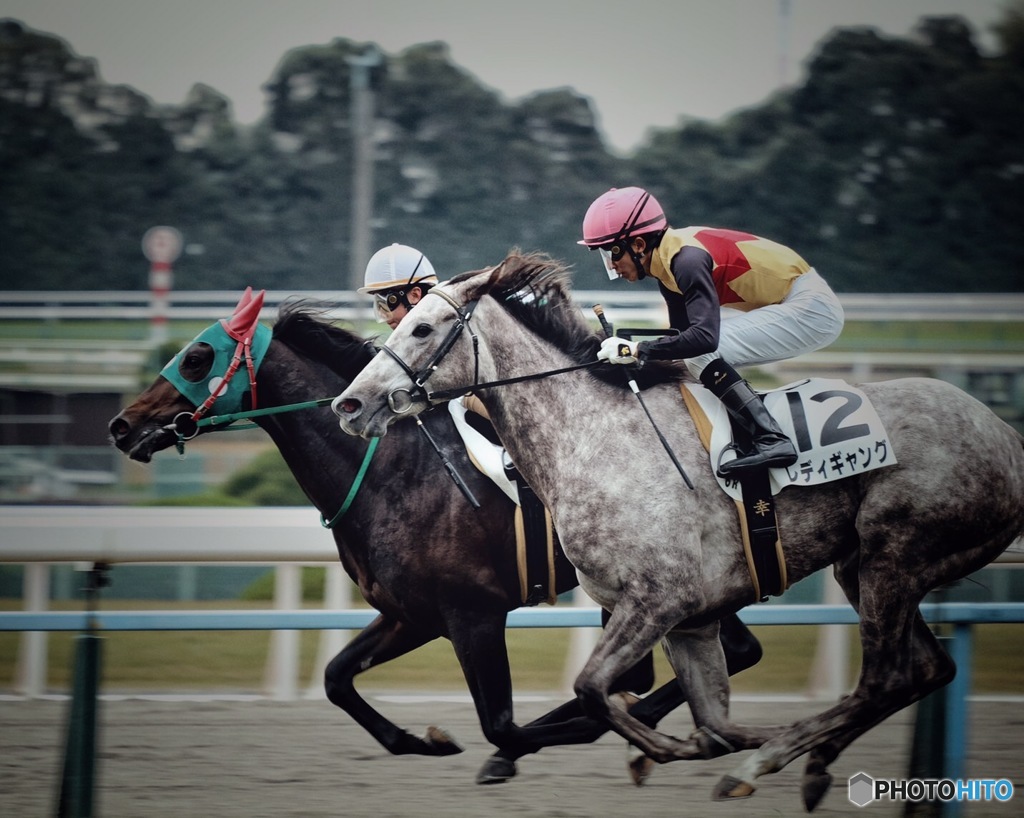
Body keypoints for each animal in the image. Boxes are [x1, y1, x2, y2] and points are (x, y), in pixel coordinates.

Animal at [108, 292, 765, 786]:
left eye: (197, 358)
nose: (121, 425)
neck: (393, 470)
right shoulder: (412, 614)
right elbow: (337, 678)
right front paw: (426, 741)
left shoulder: (473, 614)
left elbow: (503, 724)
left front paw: (520, 748)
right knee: (730, 652)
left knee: (724, 654)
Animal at [333, 250, 1024, 810]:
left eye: (422, 327)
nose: (350, 404)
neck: (594, 438)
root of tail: (1006, 435)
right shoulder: (687, 620)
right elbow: (703, 717)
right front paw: (689, 744)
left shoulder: (655, 600)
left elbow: (593, 690)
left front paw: (674, 749)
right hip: (866, 566)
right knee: (923, 670)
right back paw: (807, 761)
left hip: (894, 558)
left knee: (884, 678)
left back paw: (766, 762)